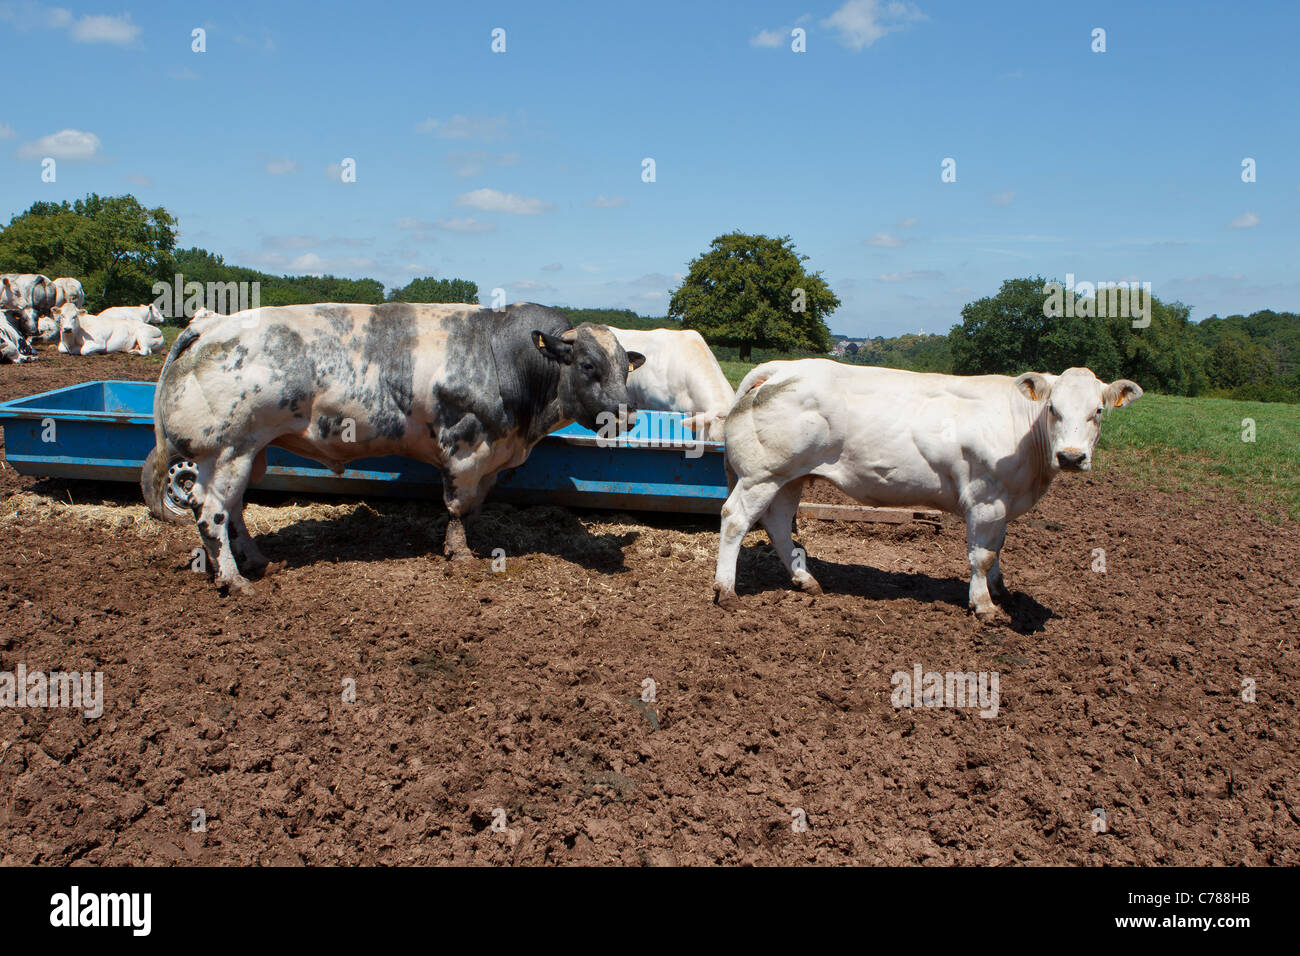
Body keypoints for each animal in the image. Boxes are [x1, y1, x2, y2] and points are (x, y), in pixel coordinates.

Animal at [147, 303, 644, 595]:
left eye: (627, 368)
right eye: (588, 365)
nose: (628, 416)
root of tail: (211, 323)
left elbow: (474, 507)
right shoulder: (463, 446)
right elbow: (457, 507)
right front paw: (460, 554)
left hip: (250, 452)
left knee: (233, 509)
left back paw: (252, 560)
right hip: (225, 450)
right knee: (211, 511)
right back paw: (233, 579)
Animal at [707, 361, 1144, 624]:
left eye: (1098, 411)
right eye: (1053, 408)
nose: (1071, 456)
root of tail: (784, 367)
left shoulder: (1003, 504)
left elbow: (998, 548)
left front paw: (1001, 590)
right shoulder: (986, 499)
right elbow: (983, 556)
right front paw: (984, 605)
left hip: (789, 477)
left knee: (779, 523)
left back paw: (805, 580)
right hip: (762, 474)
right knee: (736, 519)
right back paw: (726, 590)